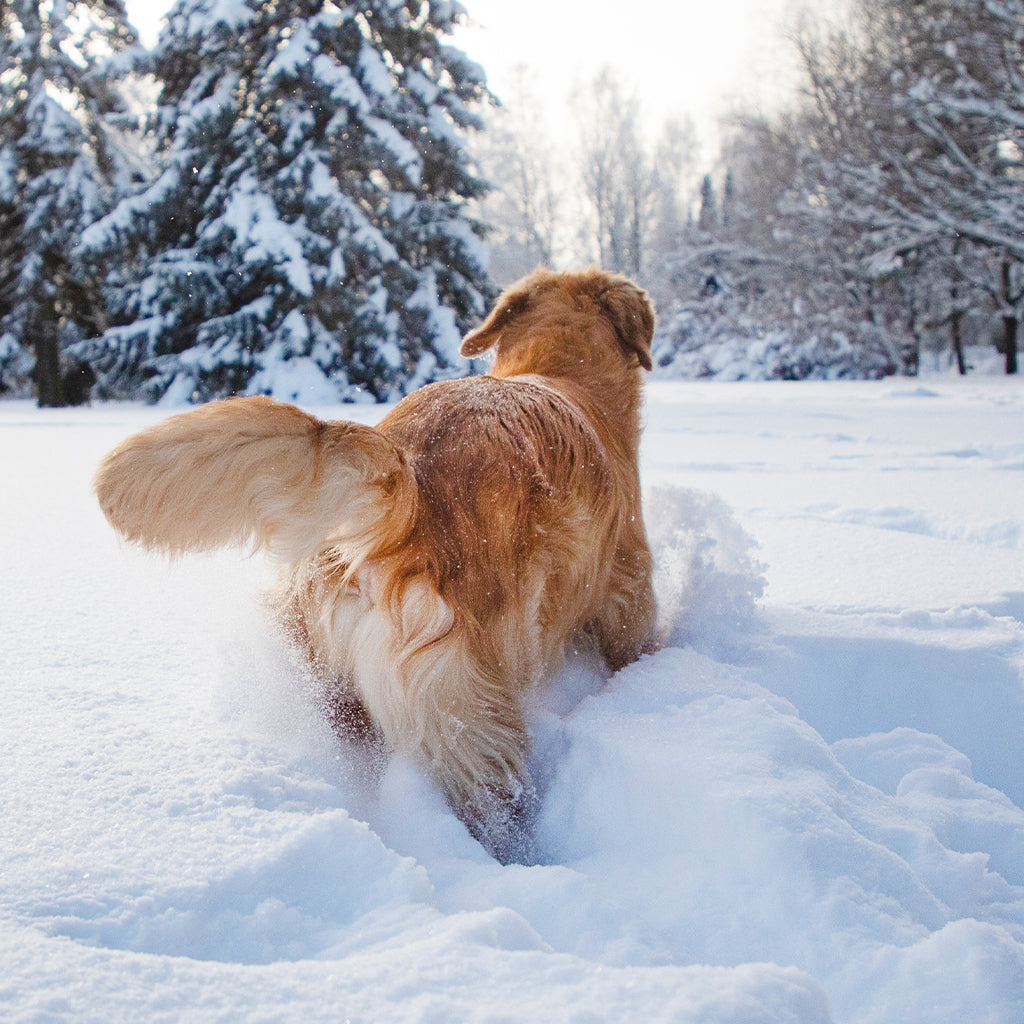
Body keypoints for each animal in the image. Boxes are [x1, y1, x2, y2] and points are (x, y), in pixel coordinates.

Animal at [94, 268, 655, 860]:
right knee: (494, 805)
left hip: (322, 665)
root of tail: (408, 475)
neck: (559, 371)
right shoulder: (628, 590)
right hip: (470, 711)